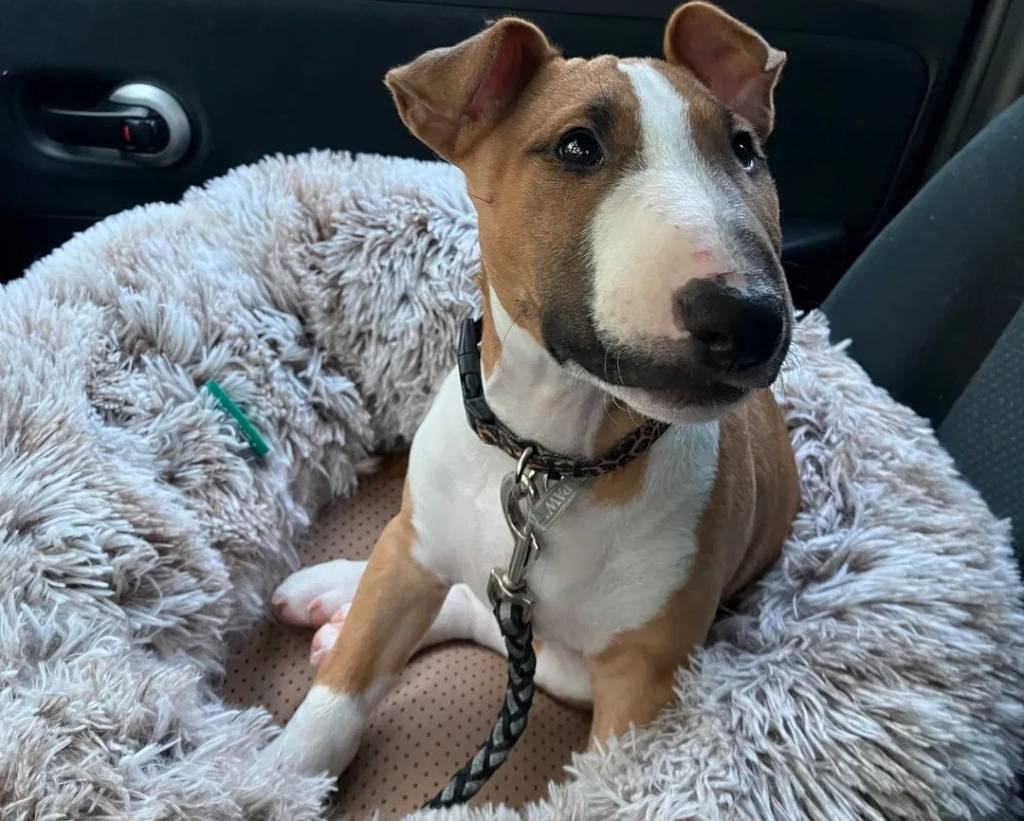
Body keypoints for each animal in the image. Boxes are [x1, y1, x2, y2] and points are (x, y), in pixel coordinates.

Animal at [266, 1, 799, 779]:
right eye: (577, 147)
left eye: (744, 150)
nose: (750, 319)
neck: (551, 451)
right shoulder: (406, 561)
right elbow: (341, 694)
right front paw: (272, 779)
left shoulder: (642, 685)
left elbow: (607, 788)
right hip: (412, 543)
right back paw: (335, 594)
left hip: (574, 664)